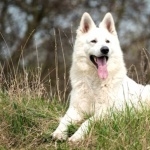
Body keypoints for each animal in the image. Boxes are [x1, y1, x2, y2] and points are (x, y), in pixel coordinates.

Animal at [51, 12, 150, 142]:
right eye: (93, 41)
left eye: (107, 41)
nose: (105, 49)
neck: (95, 82)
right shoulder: (75, 109)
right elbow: (64, 120)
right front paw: (59, 133)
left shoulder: (106, 112)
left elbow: (87, 121)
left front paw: (77, 136)